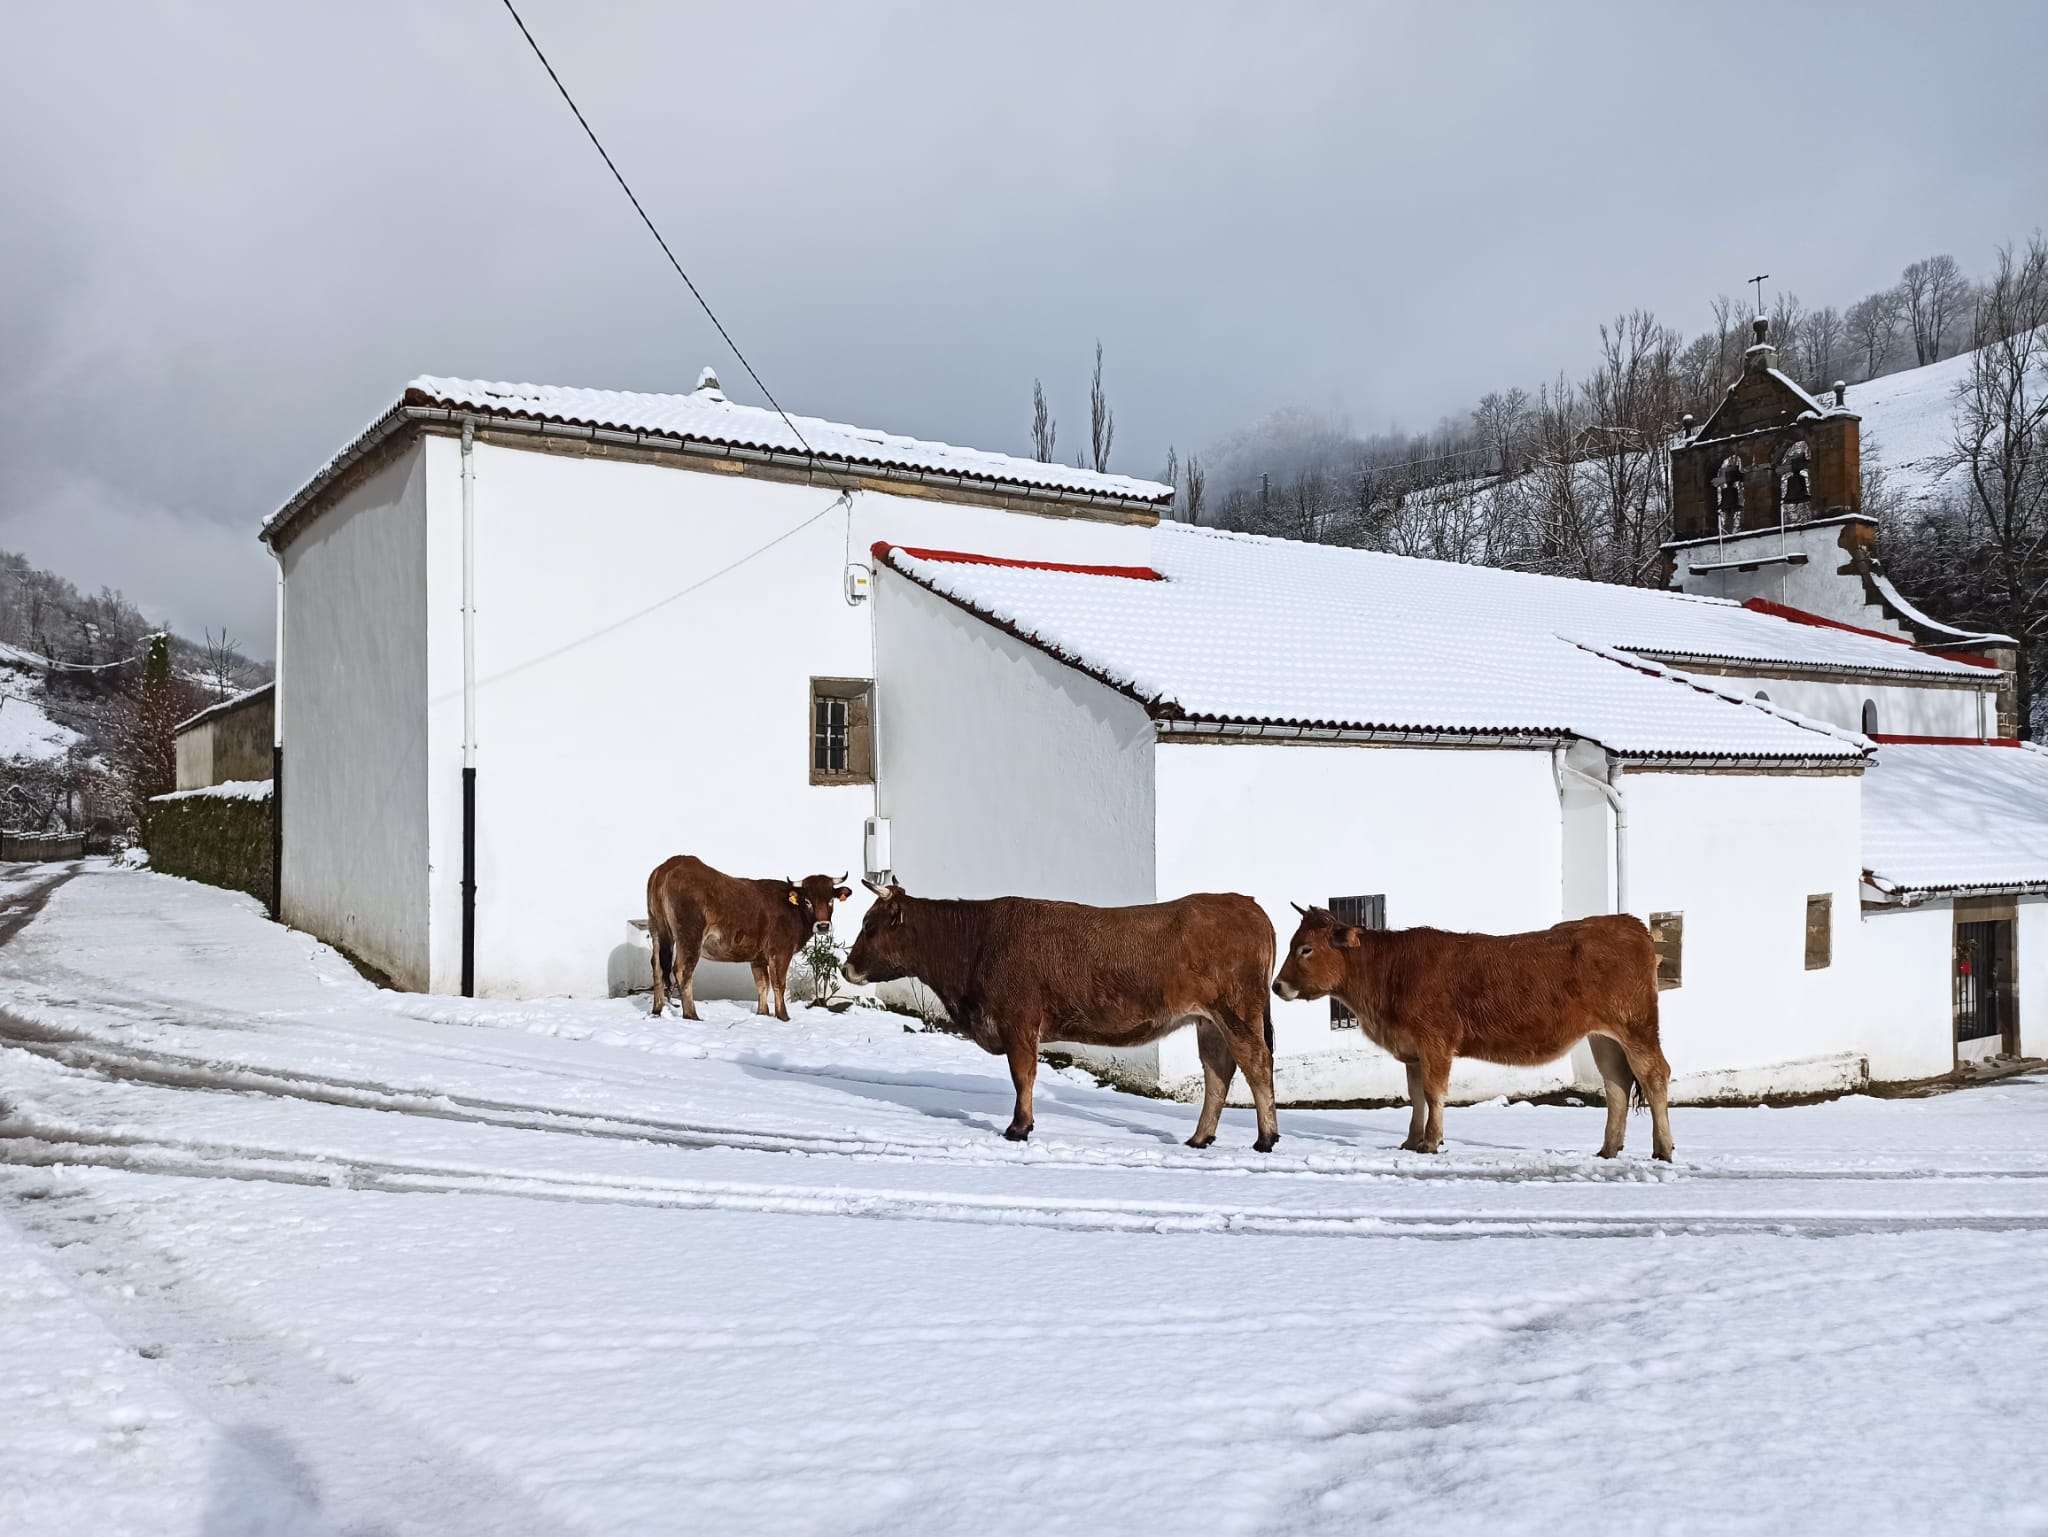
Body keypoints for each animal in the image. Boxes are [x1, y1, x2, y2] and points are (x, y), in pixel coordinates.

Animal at [651, 860, 851, 1028]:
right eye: (808, 901)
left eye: (831, 900)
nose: (823, 926)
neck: (793, 910)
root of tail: (671, 864)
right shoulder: (781, 952)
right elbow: (779, 983)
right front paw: (783, 1016)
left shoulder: (758, 958)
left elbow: (762, 984)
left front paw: (763, 1013)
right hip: (690, 936)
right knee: (683, 970)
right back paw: (691, 1015)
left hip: (657, 932)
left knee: (657, 967)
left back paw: (657, 1010)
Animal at [839, 885, 1269, 1147]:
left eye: (870, 926)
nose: (846, 968)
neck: (975, 942)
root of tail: (1245, 903)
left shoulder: (1018, 1023)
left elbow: (1022, 1076)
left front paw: (1018, 1128)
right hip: (1210, 1022)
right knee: (1218, 1071)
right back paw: (1200, 1138)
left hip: (1236, 1014)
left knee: (1257, 1064)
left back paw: (1265, 1138)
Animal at [1269, 909, 1671, 1164]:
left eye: (1305, 948)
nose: (1276, 985)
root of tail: (1628, 923)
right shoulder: (1413, 1050)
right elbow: (1416, 1096)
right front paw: (1411, 1141)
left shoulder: (1434, 1042)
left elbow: (1433, 1093)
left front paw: (1431, 1142)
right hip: (1604, 1037)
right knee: (1616, 1085)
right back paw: (1608, 1150)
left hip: (1636, 1027)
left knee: (1654, 1076)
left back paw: (1663, 1149)